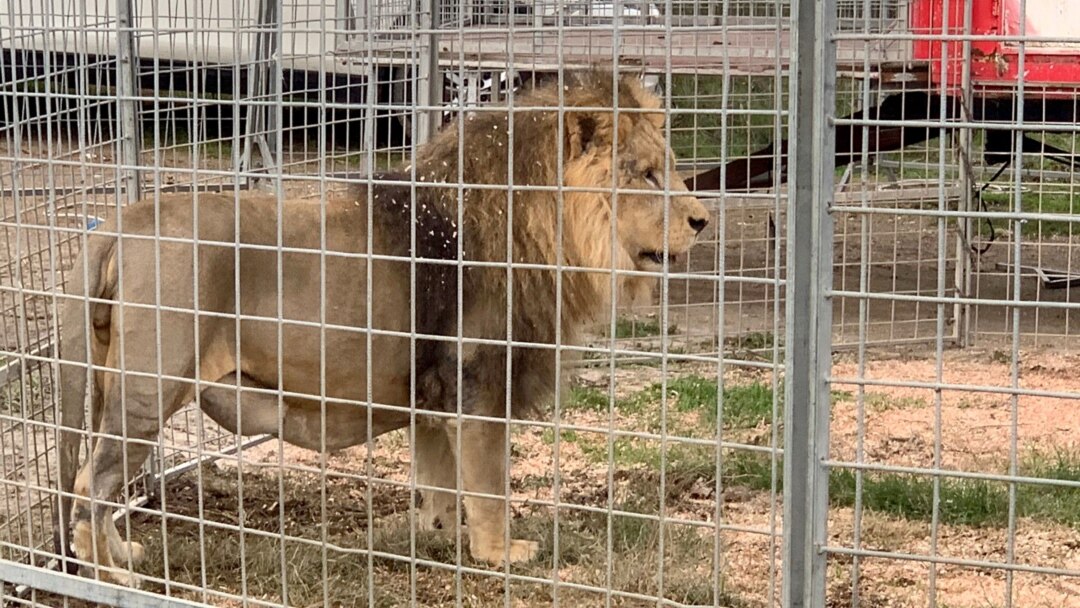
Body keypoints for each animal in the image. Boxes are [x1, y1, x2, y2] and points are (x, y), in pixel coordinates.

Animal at [54, 69, 710, 586]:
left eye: (673, 169)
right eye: (647, 175)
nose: (703, 221)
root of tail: (122, 222)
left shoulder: (433, 395)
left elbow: (442, 479)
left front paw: (440, 537)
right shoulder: (479, 383)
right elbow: (490, 484)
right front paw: (501, 554)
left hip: (114, 382)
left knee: (98, 485)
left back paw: (123, 556)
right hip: (148, 390)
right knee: (90, 482)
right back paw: (108, 576)